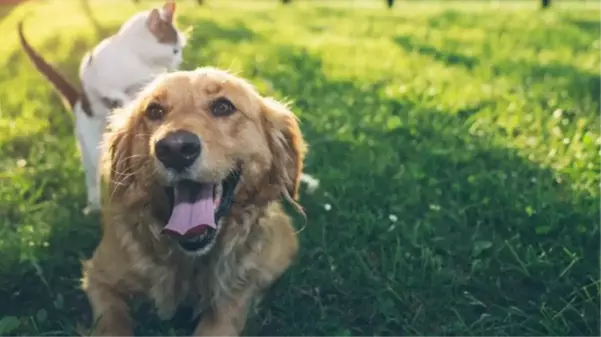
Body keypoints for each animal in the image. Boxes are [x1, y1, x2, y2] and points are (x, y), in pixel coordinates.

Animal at [18, 0, 185, 213]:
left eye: (180, 50)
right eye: (174, 50)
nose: (179, 61)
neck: (138, 61)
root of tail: (78, 102)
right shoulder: (92, 72)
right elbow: (111, 90)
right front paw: (123, 102)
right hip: (90, 148)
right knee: (93, 178)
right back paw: (94, 206)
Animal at [82, 66, 308, 336]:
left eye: (223, 106)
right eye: (154, 111)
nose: (175, 149)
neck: (189, 262)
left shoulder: (237, 291)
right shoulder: (98, 276)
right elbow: (112, 321)